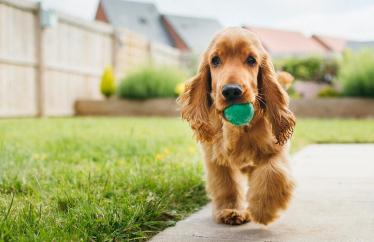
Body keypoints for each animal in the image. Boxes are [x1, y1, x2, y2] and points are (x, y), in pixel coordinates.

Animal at [179, 27, 298, 226]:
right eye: (215, 60)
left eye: (251, 60)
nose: (231, 91)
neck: (238, 129)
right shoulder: (216, 158)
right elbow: (227, 184)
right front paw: (231, 210)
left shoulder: (276, 150)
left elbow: (273, 173)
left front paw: (263, 209)